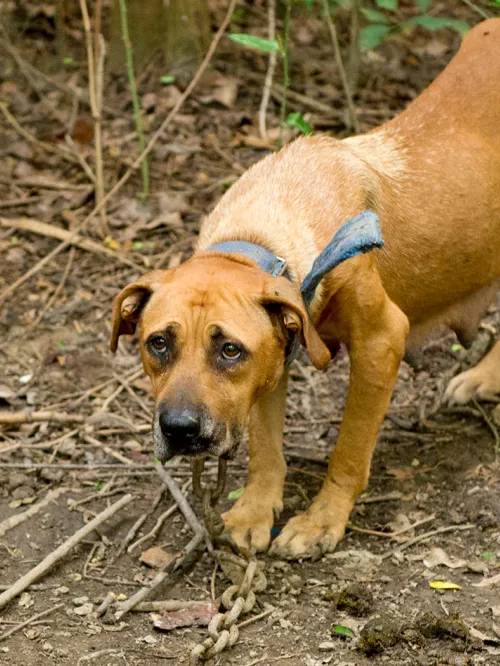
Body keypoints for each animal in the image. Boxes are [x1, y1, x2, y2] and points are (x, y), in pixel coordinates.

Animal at [111, 19, 500, 556]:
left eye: (229, 350)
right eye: (158, 343)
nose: (180, 430)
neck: (262, 234)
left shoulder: (380, 342)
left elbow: (349, 451)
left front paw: (322, 520)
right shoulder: (276, 355)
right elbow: (264, 449)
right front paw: (255, 510)